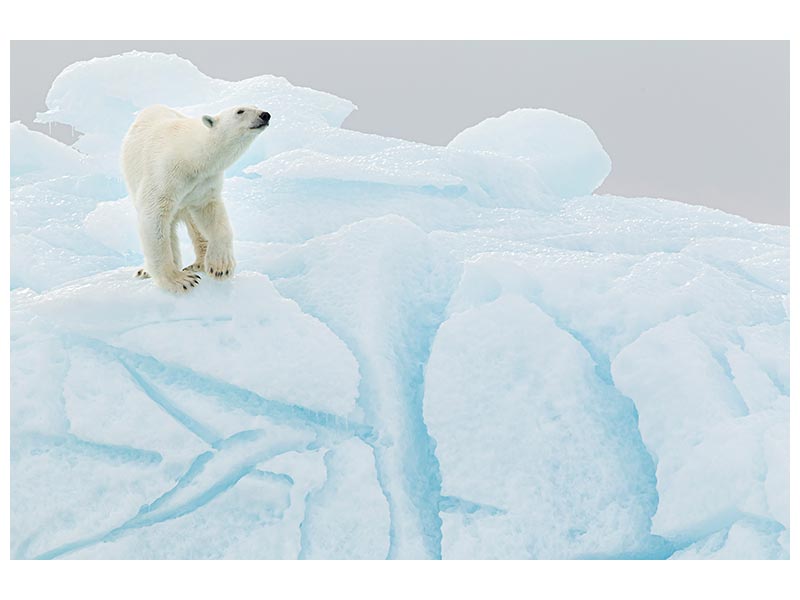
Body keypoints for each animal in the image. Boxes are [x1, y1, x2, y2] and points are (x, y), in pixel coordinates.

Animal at [121, 104, 270, 293]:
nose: (265, 115)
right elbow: (154, 218)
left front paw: (221, 266)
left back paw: (199, 264)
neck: (189, 156)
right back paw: (148, 270)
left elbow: (212, 215)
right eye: (240, 111)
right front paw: (180, 280)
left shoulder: (204, 183)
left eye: (257, 107)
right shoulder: (164, 175)